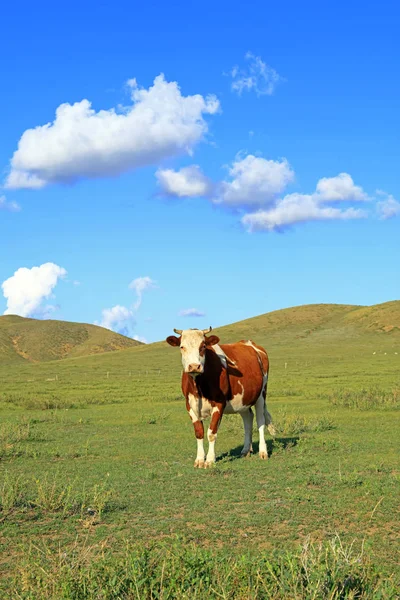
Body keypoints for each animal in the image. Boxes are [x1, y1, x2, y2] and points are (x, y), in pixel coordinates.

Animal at [166, 328, 276, 468]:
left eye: (203, 346)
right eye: (182, 347)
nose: (194, 366)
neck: (198, 387)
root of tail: (250, 343)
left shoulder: (219, 404)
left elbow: (211, 433)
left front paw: (210, 460)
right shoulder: (189, 405)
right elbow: (199, 432)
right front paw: (199, 459)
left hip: (261, 394)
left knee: (260, 421)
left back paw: (263, 452)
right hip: (243, 399)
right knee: (248, 419)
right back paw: (246, 450)